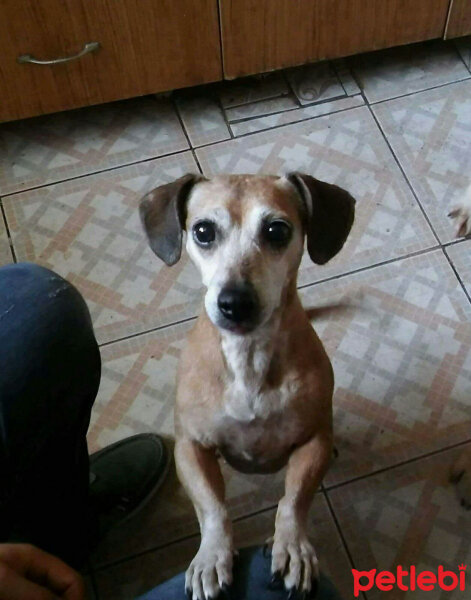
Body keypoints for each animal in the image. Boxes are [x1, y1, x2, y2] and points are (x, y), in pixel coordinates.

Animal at [142, 173, 356, 600]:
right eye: (203, 231)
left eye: (277, 230)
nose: (234, 302)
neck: (248, 357)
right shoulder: (190, 447)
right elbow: (213, 507)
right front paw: (212, 556)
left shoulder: (313, 441)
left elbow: (294, 498)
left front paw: (292, 546)